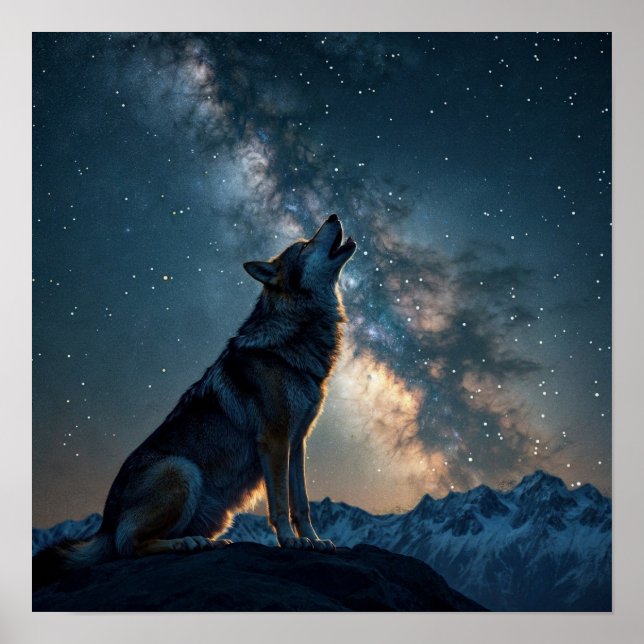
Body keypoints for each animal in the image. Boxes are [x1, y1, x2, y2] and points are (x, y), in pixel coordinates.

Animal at [34, 214, 356, 587]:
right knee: (128, 545)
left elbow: (301, 503)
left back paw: (207, 542)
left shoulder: (297, 442)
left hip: (214, 509)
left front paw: (314, 541)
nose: (333, 216)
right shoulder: (275, 441)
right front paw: (290, 542)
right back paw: (186, 543)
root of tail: (105, 524)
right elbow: (279, 504)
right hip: (182, 471)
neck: (293, 342)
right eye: (305, 245)